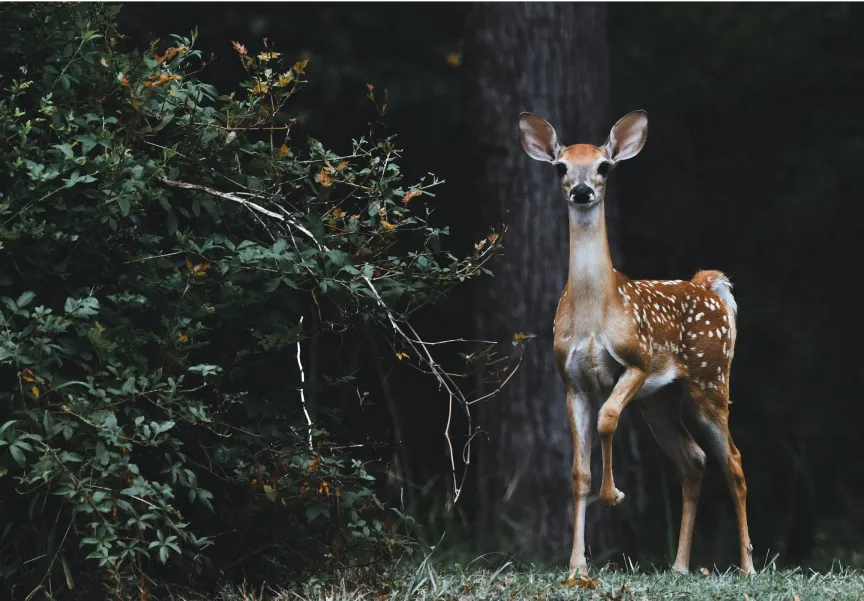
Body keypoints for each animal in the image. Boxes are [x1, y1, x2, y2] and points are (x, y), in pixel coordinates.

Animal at [517, 110, 755, 577]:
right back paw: (679, 566)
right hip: (659, 401)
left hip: (710, 379)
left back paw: (748, 566)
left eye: (605, 166)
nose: (583, 191)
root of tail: (710, 286)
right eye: (560, 167)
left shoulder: (637, 361)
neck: (595, 314)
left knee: (733, 461)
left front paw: (613, 495)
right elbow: (579, 472)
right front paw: (577, 565)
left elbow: (608, 419)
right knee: (694, 459)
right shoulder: (571, 382)